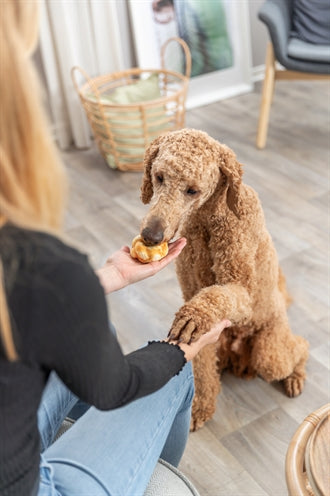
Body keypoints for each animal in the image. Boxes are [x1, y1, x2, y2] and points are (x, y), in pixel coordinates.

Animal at [138, 128, 308, 430]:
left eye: (192, 190)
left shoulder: (242, 293)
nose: (151, 236)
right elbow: (202, 367)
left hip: (270, 353)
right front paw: (200, 408)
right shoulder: (193, 299)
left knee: (299, 348)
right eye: (159, 177)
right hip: (226, 344)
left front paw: (193, 316)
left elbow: (216, 297)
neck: (207, 219)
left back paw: (295, 376)